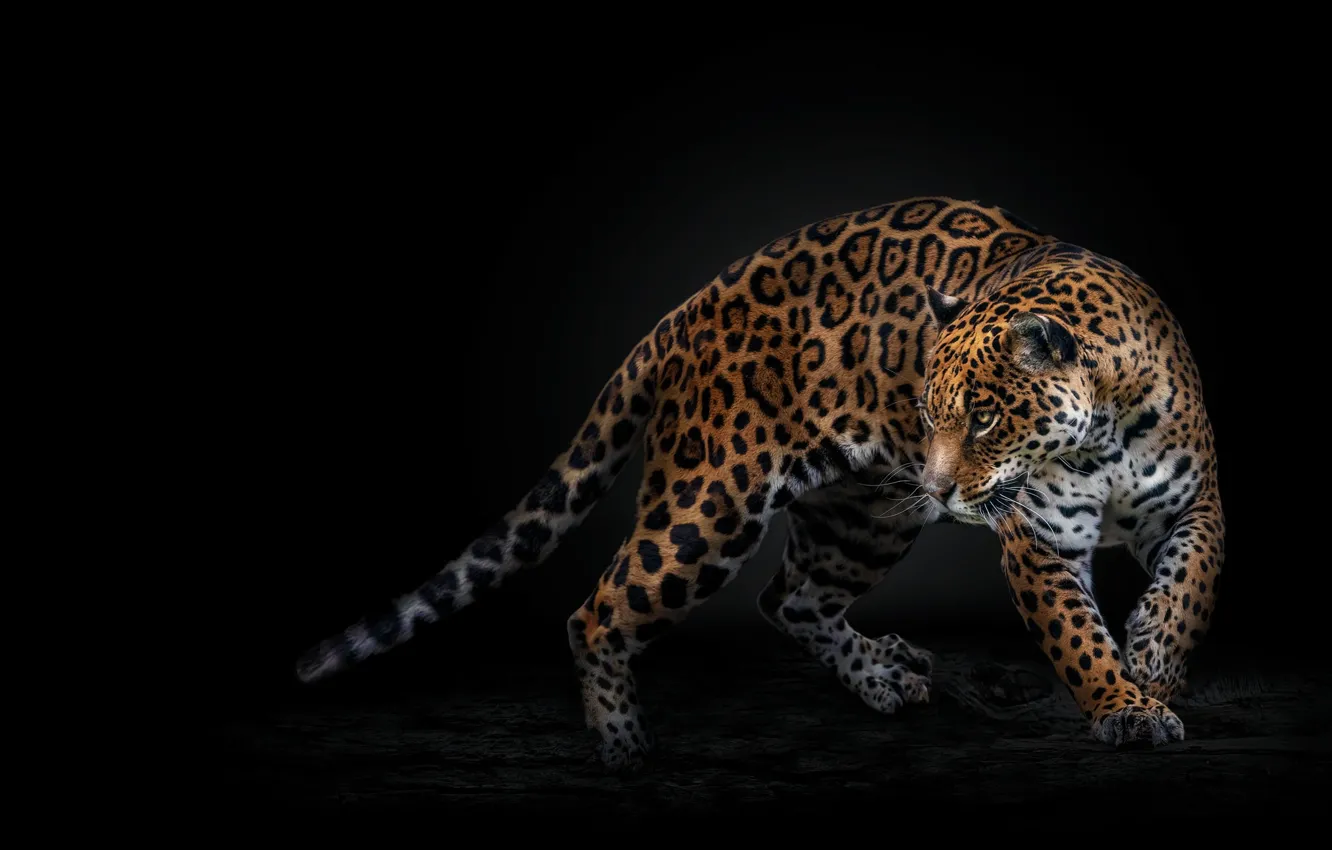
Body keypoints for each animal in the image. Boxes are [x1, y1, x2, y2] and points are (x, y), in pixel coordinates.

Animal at [293, 196, 1224, 771]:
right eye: (929, 412)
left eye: (986, 419)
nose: (937, 487)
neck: (1103, 429)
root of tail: (687, 308)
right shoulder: (1040, 542)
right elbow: (1075, 637)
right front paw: (1125, 706)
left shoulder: (1197, 502)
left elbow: (1194, 581)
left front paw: (1154, 655)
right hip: (710, 503)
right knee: (600, 612)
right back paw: (624, 748)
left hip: (865, 519)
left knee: (792, 599)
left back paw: (881, 674)